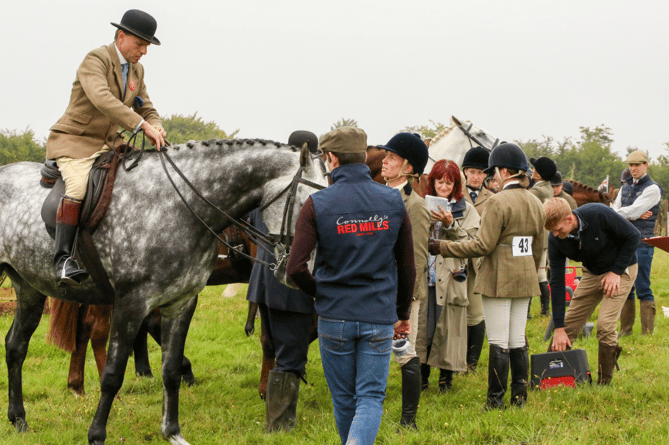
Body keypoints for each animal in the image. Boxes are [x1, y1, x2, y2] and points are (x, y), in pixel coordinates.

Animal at [0, 139, 326, 444]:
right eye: (306, 205)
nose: (303, 273)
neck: (176, 207)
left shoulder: (181, 303)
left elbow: (170, 370)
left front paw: (172, 431)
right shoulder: (131, 303)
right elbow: (113, 375)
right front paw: (97, 434)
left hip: (30, 289)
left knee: (16, 345)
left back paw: (20, 418)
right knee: (88, 334)